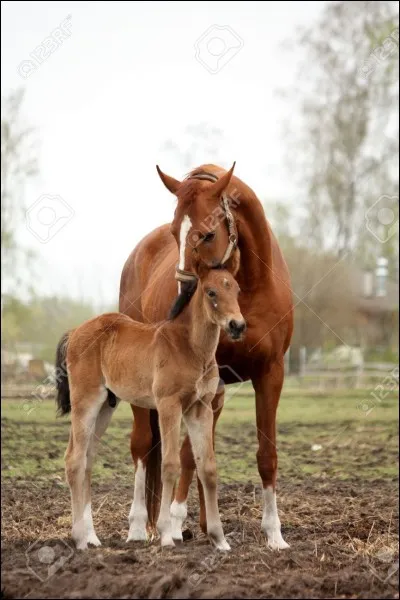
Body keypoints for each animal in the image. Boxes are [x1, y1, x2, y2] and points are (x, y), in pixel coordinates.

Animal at [54, 255, 245, 552]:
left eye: (236, 289)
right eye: (211, 292)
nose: (237, 325)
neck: (190, 348)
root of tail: (75, 332)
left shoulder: (200, 408)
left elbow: (208, 468)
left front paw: (219, 539)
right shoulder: (169, 405)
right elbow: (170, 464)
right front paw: (166, 535)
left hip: (105, 407)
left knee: (87, 459)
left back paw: (92, 537)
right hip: (85, 400)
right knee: (74, 459)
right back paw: (80, 539)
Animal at [119, 162, 294, 552]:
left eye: (208, 233)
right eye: (175, 232)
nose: (186, 290)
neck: (252, 286)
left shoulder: (269, 375)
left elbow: (263, 455)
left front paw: (273, 533)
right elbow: (187, 455)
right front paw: (173, 522)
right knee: (142, 445)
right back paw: (140, 527)